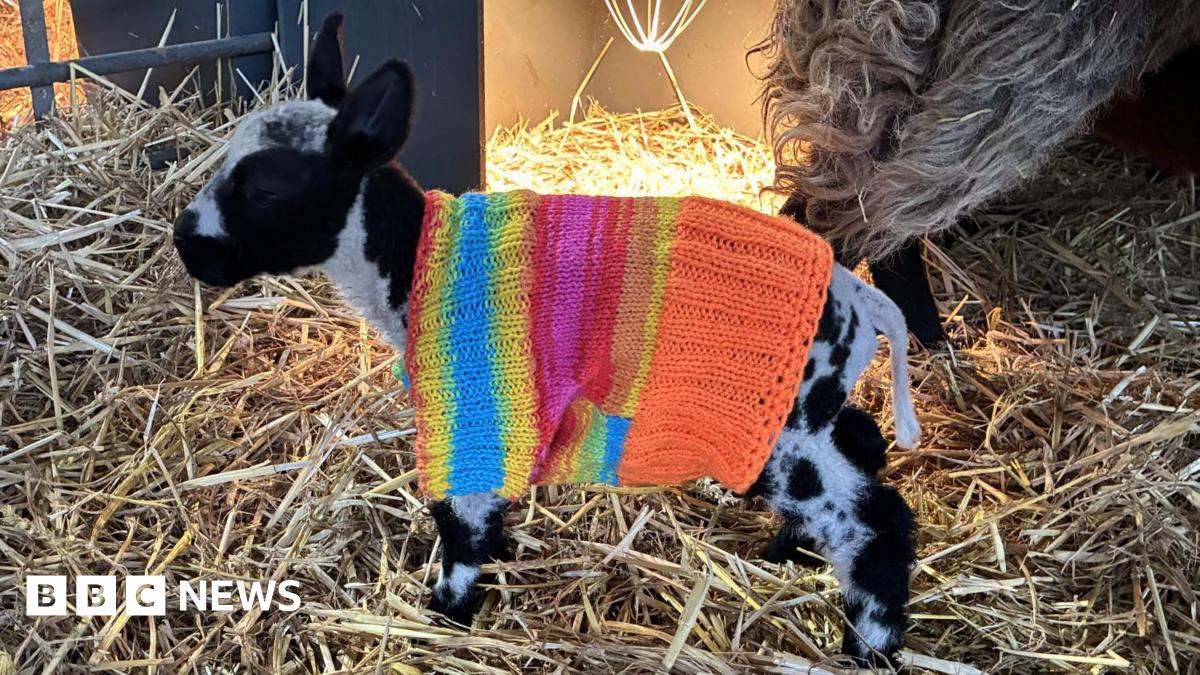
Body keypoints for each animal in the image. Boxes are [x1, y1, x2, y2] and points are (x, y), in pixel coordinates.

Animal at [172, 13, 922, 665]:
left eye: (267, 189)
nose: (186, 243)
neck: (411, 257)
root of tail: (856, 296)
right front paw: (491, 560)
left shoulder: (474, 402)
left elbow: (460, 515)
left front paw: (448, 606)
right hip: (806, 411)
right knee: (863, 443)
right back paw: (788, 552)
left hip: (775, 419)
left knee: (874, 516)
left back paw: (870, 641)